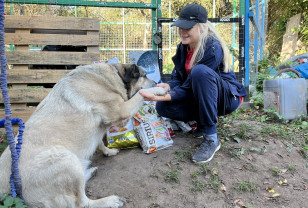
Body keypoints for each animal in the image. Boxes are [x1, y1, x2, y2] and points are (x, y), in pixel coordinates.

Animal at [0, 62, 166, 207]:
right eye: (144, 75)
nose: (157, 81)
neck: (114, 76)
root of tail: (7, 187)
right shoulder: (122, 110)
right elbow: (141, 94)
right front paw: (158, 91)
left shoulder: (100, 126)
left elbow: (99, 141)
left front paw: (108, 151)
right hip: (67, 160)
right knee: (82, 203)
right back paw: (111, 201)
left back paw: (90, 171)